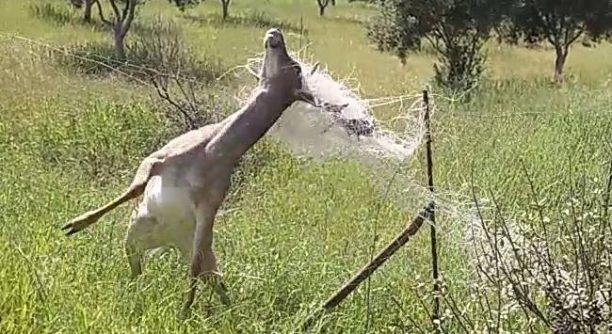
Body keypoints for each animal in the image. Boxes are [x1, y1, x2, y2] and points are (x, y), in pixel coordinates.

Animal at [61, 27, 330, 318]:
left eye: (296, 67)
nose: (275, 33)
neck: (212, 154)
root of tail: (167, 241)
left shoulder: (208, 210)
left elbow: (194, 267)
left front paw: (184, 311)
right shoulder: (156, 158)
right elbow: (133, 189)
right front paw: (74, 224)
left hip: (190, 251)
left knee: (211, 278)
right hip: (135, 237)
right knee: (139, 267)